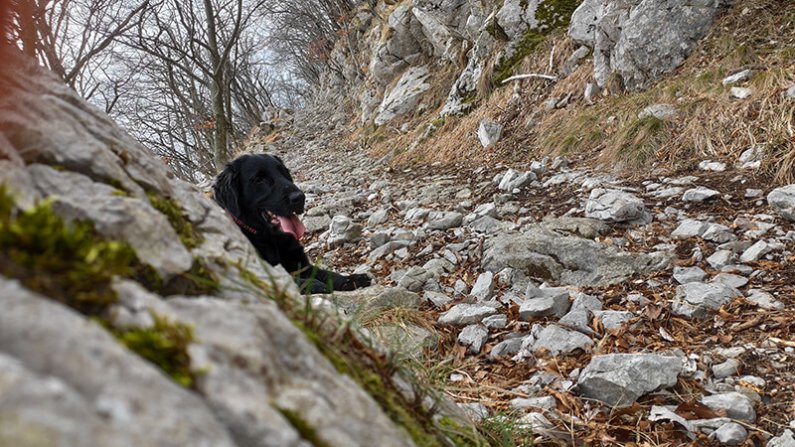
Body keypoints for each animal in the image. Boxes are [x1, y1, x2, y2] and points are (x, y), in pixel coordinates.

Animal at [213, 154, 372, 294]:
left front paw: (351, 279)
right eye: (259, 179)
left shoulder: (302, 265)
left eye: (284, 172)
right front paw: (314, 284)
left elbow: (326, 273)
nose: (299, 197)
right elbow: (287, 280)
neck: (271, 240)